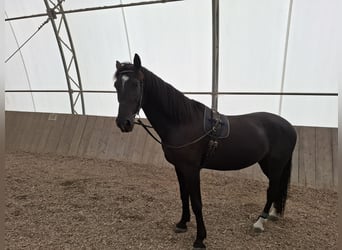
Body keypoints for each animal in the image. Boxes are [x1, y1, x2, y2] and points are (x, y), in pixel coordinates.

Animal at [113, 53, 296, 249]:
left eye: (136, 84)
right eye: (116, 86)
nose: (124, 123)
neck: (182, 122)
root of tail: (289, 126)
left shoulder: (192, 169)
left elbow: (196, 202)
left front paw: (200, 238)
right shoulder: (180, 168)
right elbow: (183, 195)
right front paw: (182, 223)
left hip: (276, 164)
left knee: (272, 189)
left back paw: (260, 222)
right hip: (267, 163)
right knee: (276, 187)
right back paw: (273, 214)